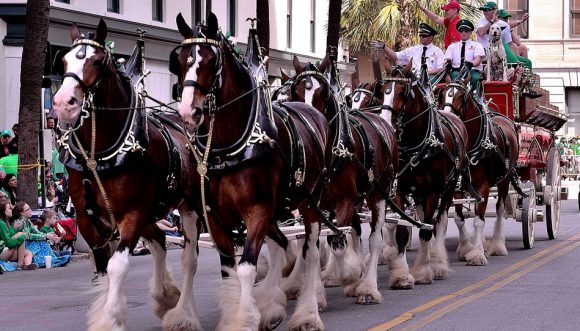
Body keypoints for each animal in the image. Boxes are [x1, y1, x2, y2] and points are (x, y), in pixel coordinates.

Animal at [52, 21, 202, 331]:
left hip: (188, 206)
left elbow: (117, 266)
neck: (100, 155)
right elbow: (102, 265)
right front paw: (105, 312)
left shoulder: (133, 212)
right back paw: (165, 295)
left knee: (188, 258)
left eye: (97, 62)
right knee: (159, 241)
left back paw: (182, 313)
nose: (63, 103)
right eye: (64, 61)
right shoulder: (88, 217)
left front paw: (110, 318)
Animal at [172, 12, 330, 330]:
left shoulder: (257, 210)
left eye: (211, 60)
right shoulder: (216, 218)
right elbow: (228, 270)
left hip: (309, 203)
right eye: (180, 59)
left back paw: (308, 310)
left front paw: (244, 318)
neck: (230, 147)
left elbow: (246, 267)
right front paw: (238, 315)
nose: (187, 112)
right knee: (282, 245)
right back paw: (270, 305)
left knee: (311, 251)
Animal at [286, 55, 414, 304]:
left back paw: (369, 285)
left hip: (381, 193)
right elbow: (315, 243)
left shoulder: (345, 199)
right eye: (294, 91)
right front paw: (316, 292)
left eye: (323, 92)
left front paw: (350, 274)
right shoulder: (315, 204)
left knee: (376, 237)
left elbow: (337, 242)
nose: (306, 123)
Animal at [376, 61, 472, 286]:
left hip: (449, 189)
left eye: (402, 91)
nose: (384, 121)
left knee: (440, 222)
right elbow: (403, 231)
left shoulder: (433, 192)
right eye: (383, 90)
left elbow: (427, 230)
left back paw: (437, 262)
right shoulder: (400, 190)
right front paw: (402, 275)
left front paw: (423, 270)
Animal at [440, 74, 520, 266]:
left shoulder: (483, 186)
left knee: (500, 209)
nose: (447, 116)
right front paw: (465, 248)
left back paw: (498, 244)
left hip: (504, 179)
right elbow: (459, 218)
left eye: (462, 96)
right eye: (442, 94)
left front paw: (477, 254)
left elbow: (479, 221)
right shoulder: (458, 186)